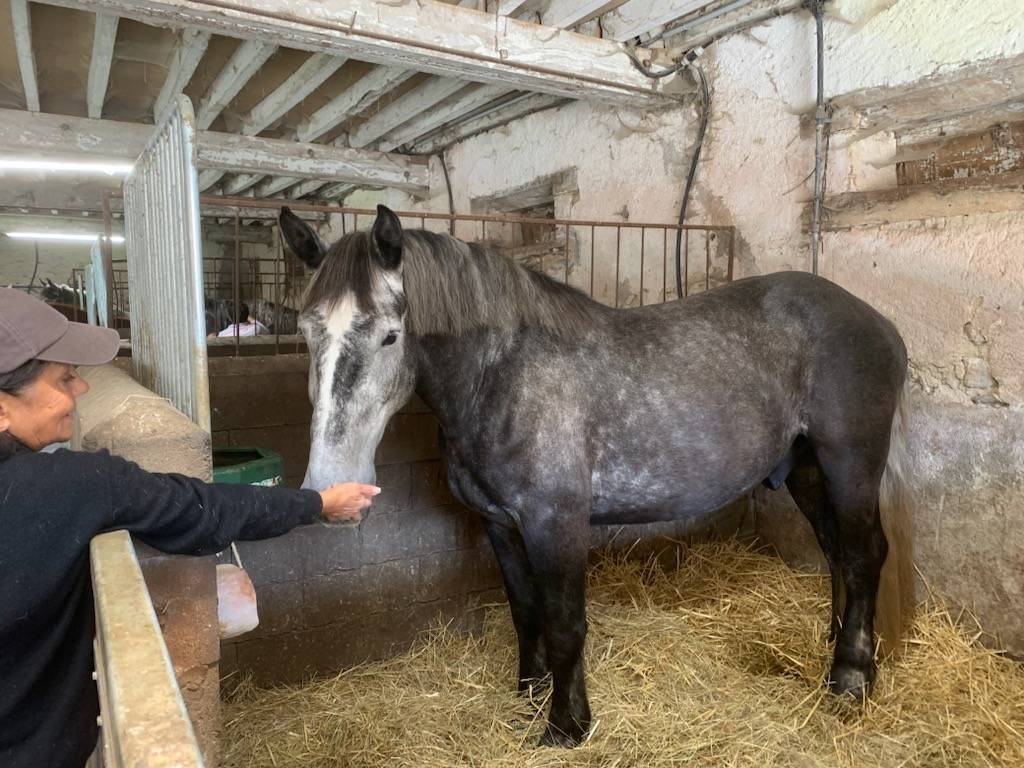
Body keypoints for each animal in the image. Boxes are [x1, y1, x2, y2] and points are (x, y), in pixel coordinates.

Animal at [278, 204, 914, 748]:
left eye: (390, 334)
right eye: (307, 333)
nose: (331, 484)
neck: (503, 377)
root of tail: (880, 323)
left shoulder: (556, 525)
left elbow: (564, 624)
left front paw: (566, 725)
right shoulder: (500, 526)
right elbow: (526, 612)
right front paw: (529, 697)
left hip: (850, 462)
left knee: (864, 555)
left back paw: (850, 679)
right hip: (806, 468)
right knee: (837, 552)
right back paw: (836, 645)